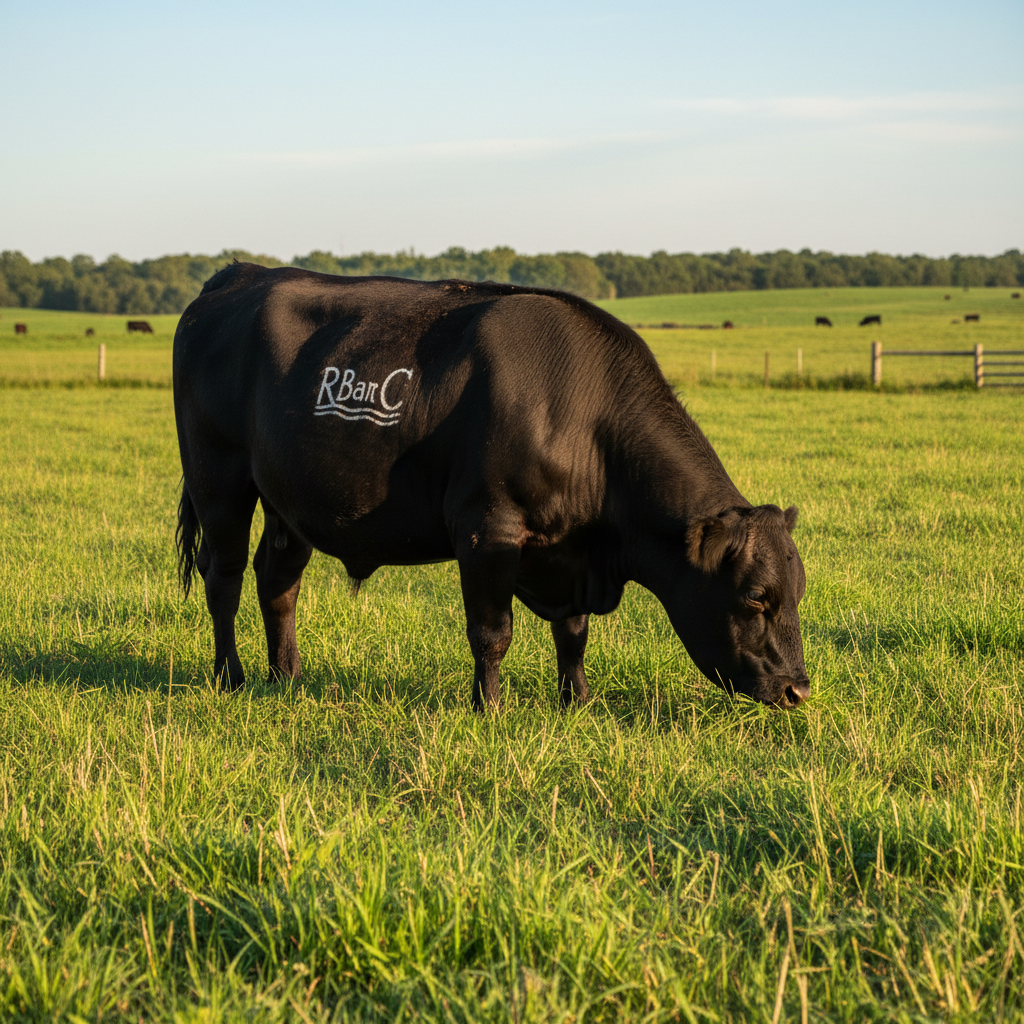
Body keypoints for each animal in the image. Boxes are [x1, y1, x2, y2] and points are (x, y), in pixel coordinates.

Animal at [174, 264, 811, 711]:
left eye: (798, 593)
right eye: (756, 597)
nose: (799, 691)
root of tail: (240, 273)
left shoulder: (566, 555)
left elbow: (573, 634)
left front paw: (576, 703)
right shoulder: (487, 528)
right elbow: (492, 633)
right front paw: (490, 709)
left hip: (289, 500)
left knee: (277, 579)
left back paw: (287, 678)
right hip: (219, 479)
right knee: (223, 576)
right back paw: (231, 678)